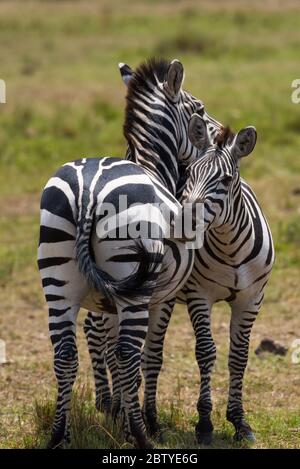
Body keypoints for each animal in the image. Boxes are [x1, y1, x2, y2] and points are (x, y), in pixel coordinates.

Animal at [37, 56, 223, 448]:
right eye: (199, 110)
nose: (220, 138)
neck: (152, 164)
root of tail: (88, 189)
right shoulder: (160, 299)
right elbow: (145, 358)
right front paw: (140, 421)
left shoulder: (105, 302)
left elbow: (107, 352)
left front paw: (116, 414)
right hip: (134, 286)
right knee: (127, 354)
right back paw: (141, 438)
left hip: (57, 279)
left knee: (64, 355)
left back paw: (60, 435)